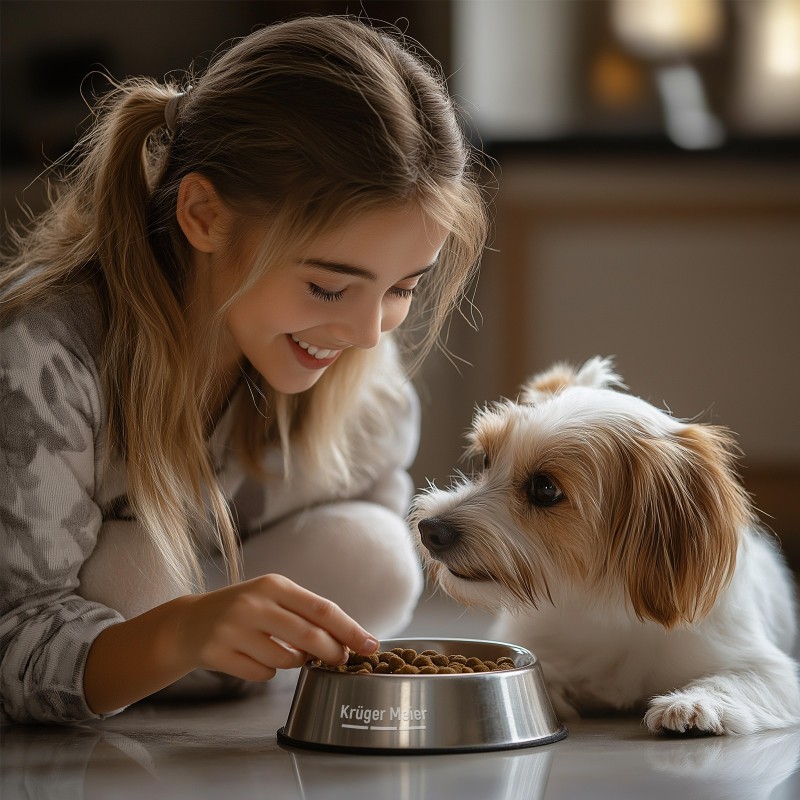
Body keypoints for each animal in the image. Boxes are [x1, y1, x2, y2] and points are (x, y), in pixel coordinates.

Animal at [412, 360, 800, 736]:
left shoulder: (765, 667)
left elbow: (739, 679)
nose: (430, 530)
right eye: (485, 460)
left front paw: (692, 704)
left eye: (545, 488)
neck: (597, 601)